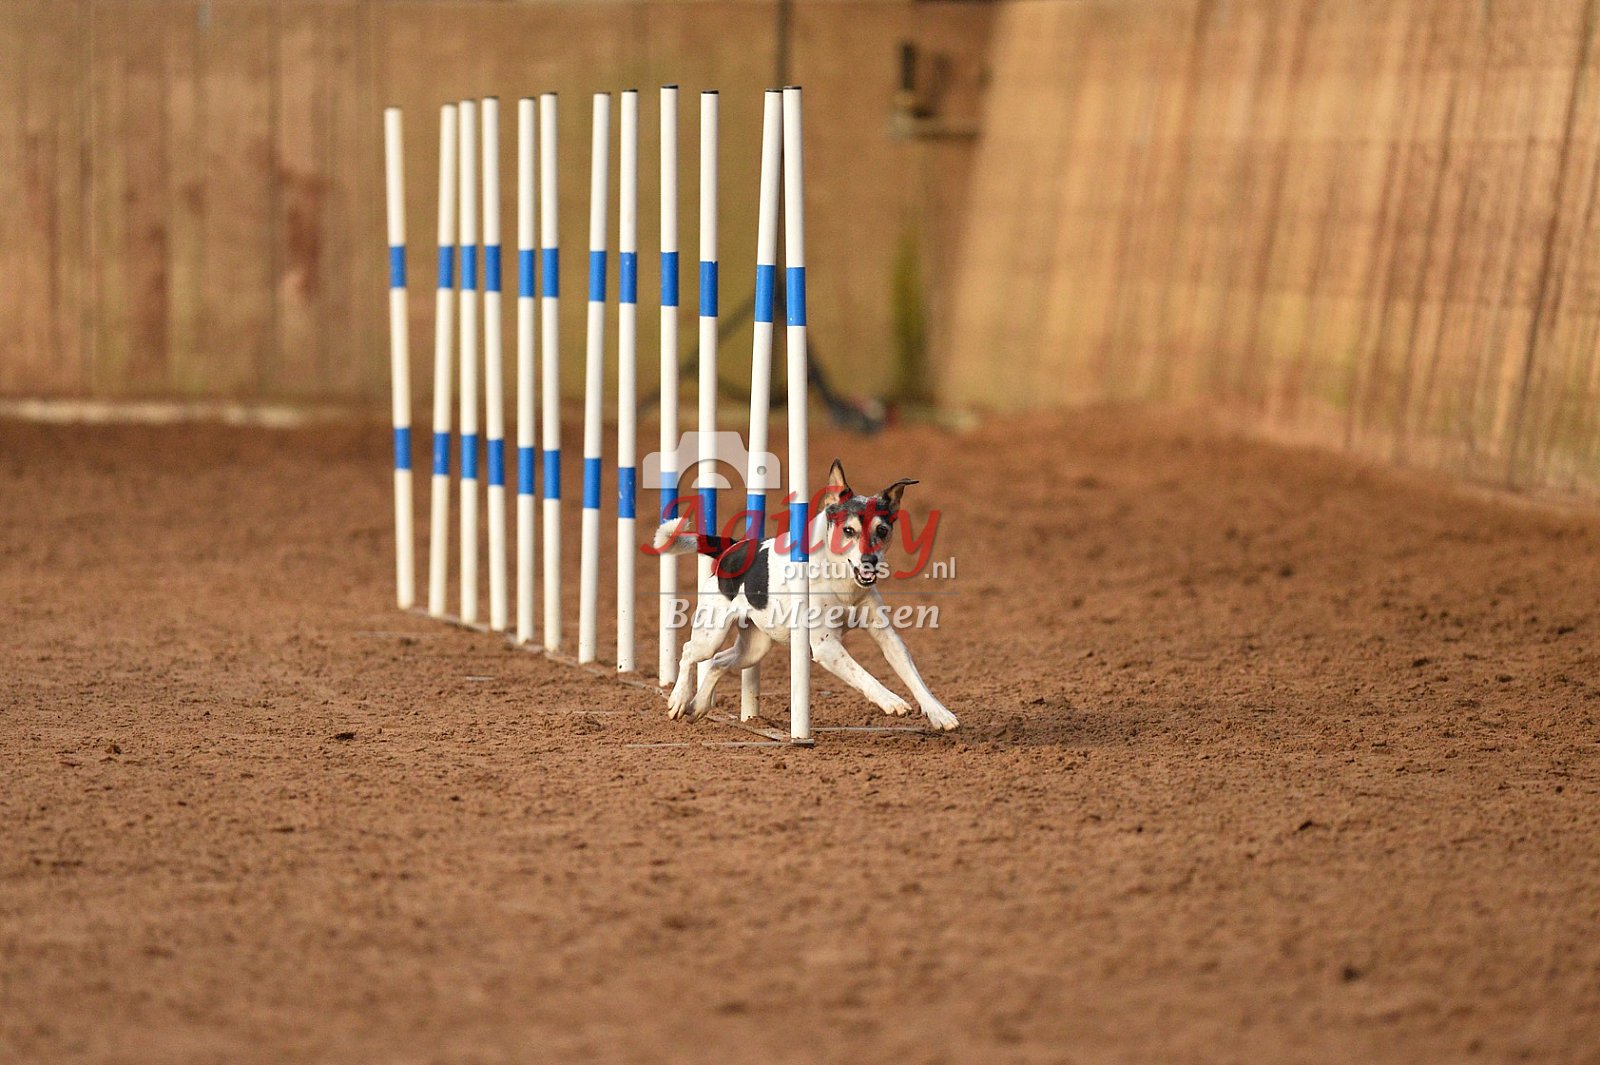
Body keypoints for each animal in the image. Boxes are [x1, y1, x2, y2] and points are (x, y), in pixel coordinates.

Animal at [651, 459, 959, 731]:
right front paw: (891, 701)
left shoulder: (885, 636)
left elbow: (911, 673)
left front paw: (939, 714)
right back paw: (678, 699)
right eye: (849, 530)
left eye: (882, 530)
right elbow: (863, 675)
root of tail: (732, 548)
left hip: (754, 648)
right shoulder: (826, 646)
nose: (869, 561)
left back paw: (699, 705)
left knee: (717, 663)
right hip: (711, 633)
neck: (841, 580)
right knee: (690, 652)